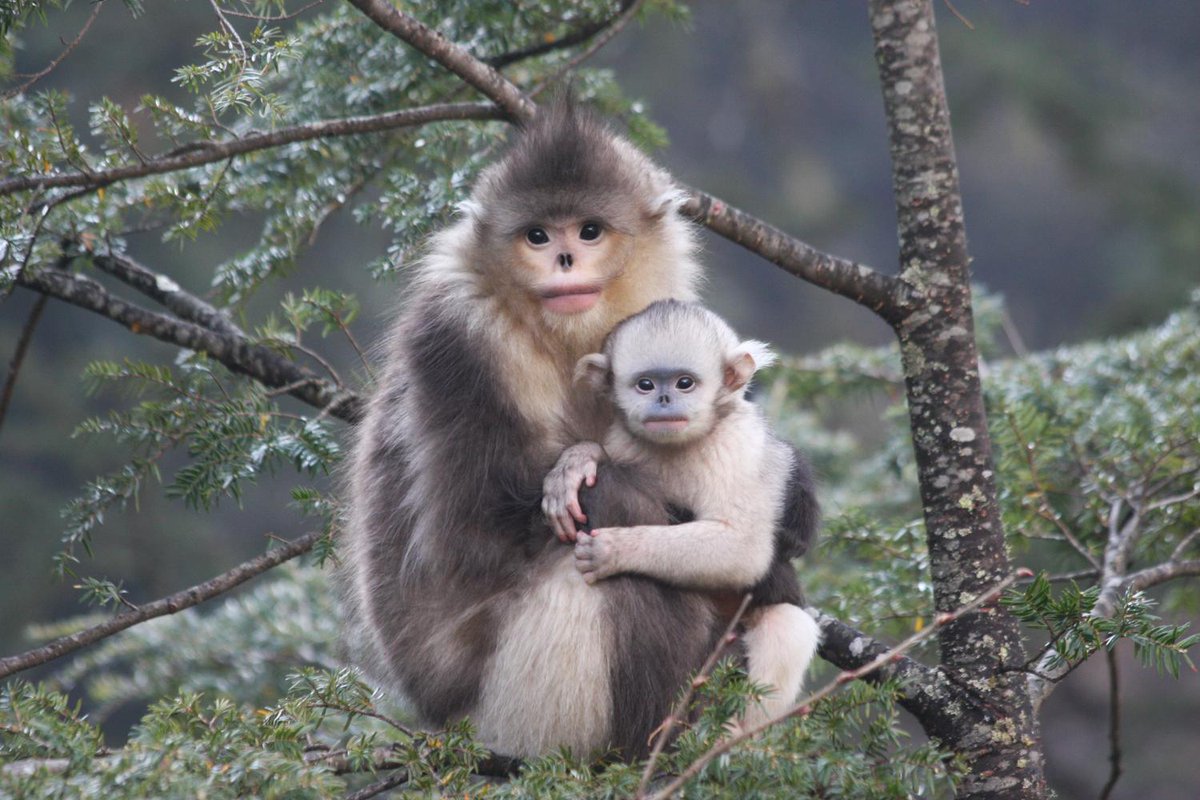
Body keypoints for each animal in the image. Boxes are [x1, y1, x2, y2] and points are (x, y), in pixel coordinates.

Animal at [541, 299, 821, 730]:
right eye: (645, 385)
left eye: (685, 383)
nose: (664, 401)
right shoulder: (624, 440)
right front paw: (576, 463)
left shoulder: (736, 445)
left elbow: (741, 549)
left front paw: (616, 551)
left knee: (788, 625)